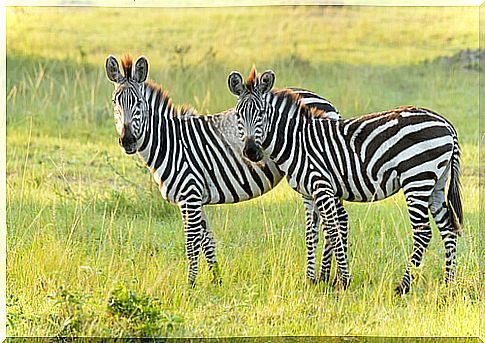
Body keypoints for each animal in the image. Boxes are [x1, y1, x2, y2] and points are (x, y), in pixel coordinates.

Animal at [105, 55, 340, 286]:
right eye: (115, 101)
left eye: (139, 103)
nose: (127, 141)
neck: (170, 141)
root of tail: (325, 102)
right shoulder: (195, 197)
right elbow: (206, 240)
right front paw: (216, 279)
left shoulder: (189, 194)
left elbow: (191, 243)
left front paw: (190, 284)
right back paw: (322, 277)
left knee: (332, 223)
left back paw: (325, 278)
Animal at [226, 67, 462, 296]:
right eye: (238, 115)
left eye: (262, 113)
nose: (251, 151)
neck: (297, 141)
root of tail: (447, 124)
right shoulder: (307, 192)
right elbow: (311, 234)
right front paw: (311, 280)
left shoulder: (321, 184)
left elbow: (332, 231)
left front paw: (343, 280)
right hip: (436, 184)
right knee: (448, 229)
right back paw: (448, 284)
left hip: (417, 179)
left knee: (423, 232)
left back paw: (403, 286)